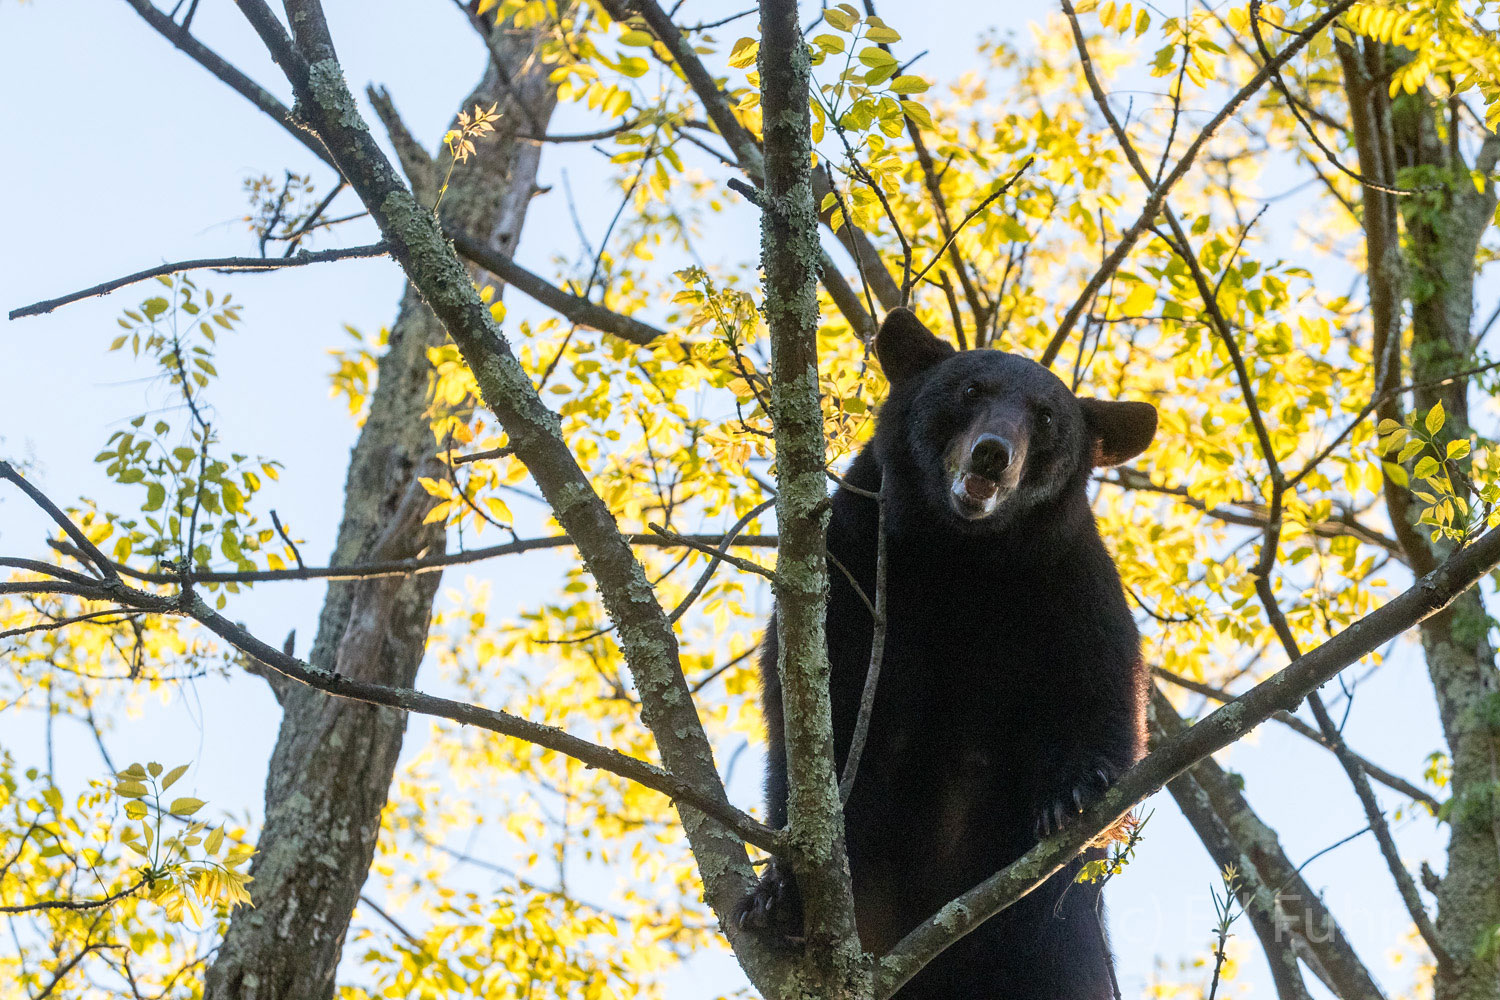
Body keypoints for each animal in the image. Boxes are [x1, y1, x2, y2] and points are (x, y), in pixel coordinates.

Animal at [744, 308, 1152, 995]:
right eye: (969, 389)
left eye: (1047, 417)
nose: (993, 451)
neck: (961, 559)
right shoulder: (850, 564)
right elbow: (811, 709)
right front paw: (781, 888)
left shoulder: (1070, 585)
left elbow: (1103, 691)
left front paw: (1076, 792)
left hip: (1053, 944)